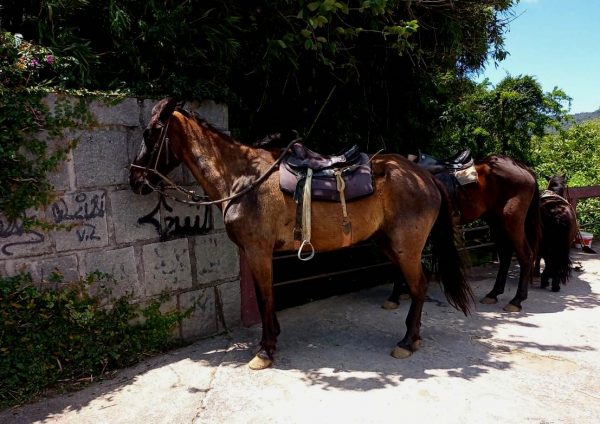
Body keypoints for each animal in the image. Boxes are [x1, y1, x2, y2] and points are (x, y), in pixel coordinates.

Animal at [130, 97, 474, 370]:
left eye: (150, 133)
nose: (135, 179)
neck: (243, 178)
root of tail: (425, 176)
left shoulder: (258, 251)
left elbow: (265, 297)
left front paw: (265, 351)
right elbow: (266, 295)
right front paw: (273, 338)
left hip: (406, 247)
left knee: (419, 285)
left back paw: (407, 341)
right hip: (388, 244)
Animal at [384, 152, 544, 312]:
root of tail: (526, 170)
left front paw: (394, 297)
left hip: (513, 222)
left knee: (526, 255)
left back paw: (516, 300)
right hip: (497, 223)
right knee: (505, 256)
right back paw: (493, 294)